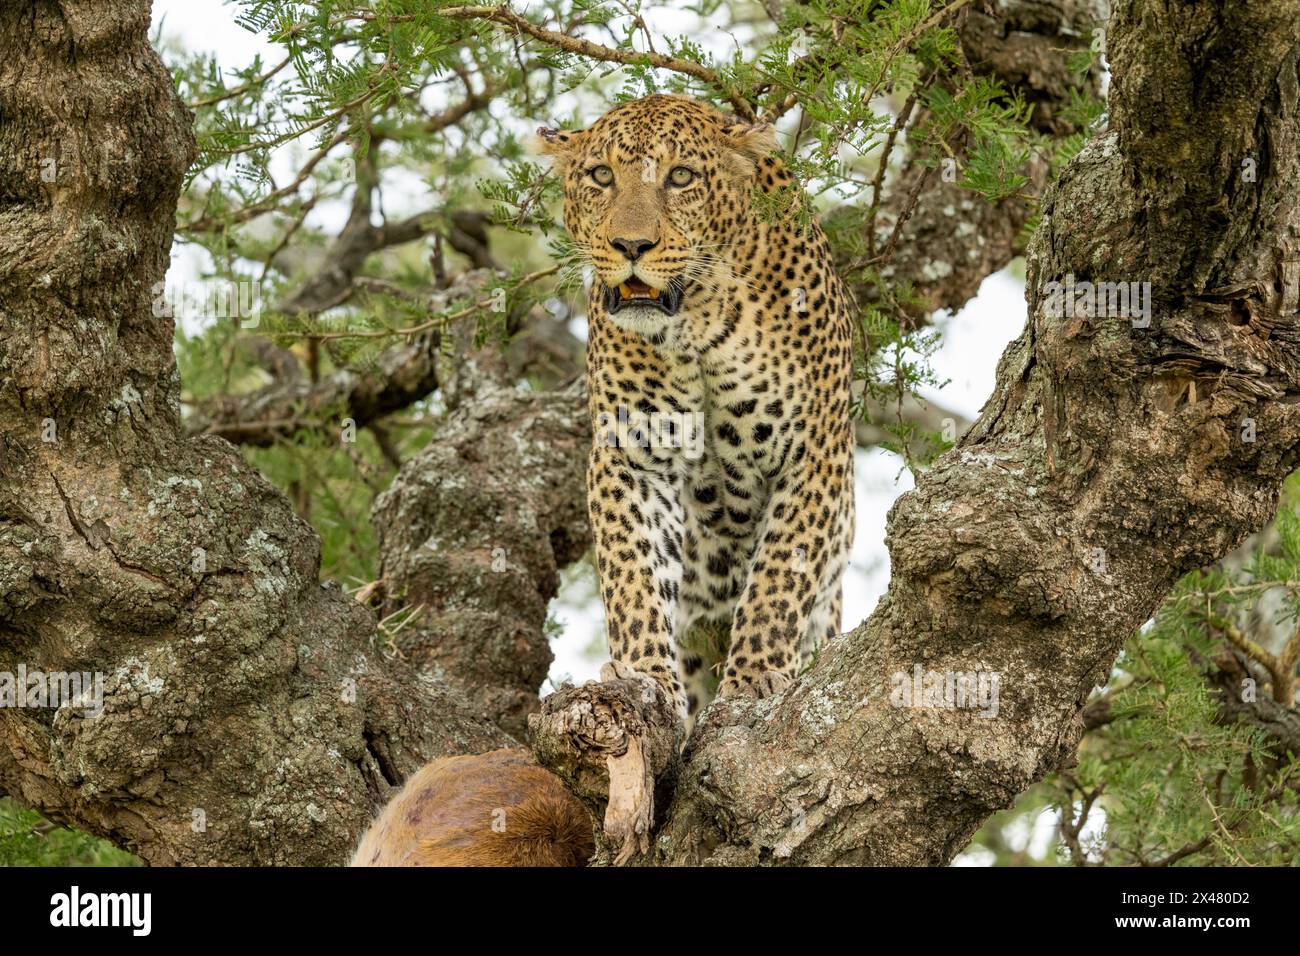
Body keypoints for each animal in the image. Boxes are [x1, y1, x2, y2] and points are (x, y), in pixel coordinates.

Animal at [535, 91, 852, 733]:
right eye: (601, 176)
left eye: (681, 177)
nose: (632, 247)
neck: (701, 320)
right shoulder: (630, 456)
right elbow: (633, 573)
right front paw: (643, 677)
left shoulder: (815, 453)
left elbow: (780, 572)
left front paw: (756, 678)